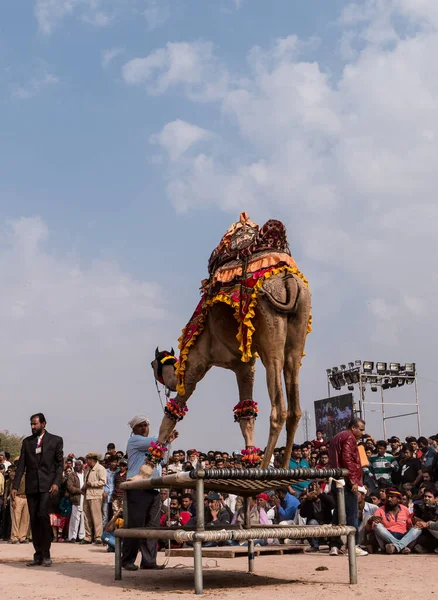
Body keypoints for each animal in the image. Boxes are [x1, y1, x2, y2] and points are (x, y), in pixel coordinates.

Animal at [144, 213, 312, 476]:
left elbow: (174, 410)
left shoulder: (196, 363)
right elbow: (246, 412)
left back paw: (264, 468)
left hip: (268, 326)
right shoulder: (243, 367)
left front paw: (142, 471)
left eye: (153, 364)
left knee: (279, 407)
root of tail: (287, 280)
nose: (154, 376)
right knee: (294, 403)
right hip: (300, 319)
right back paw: (284, 469)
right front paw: (249, 460)